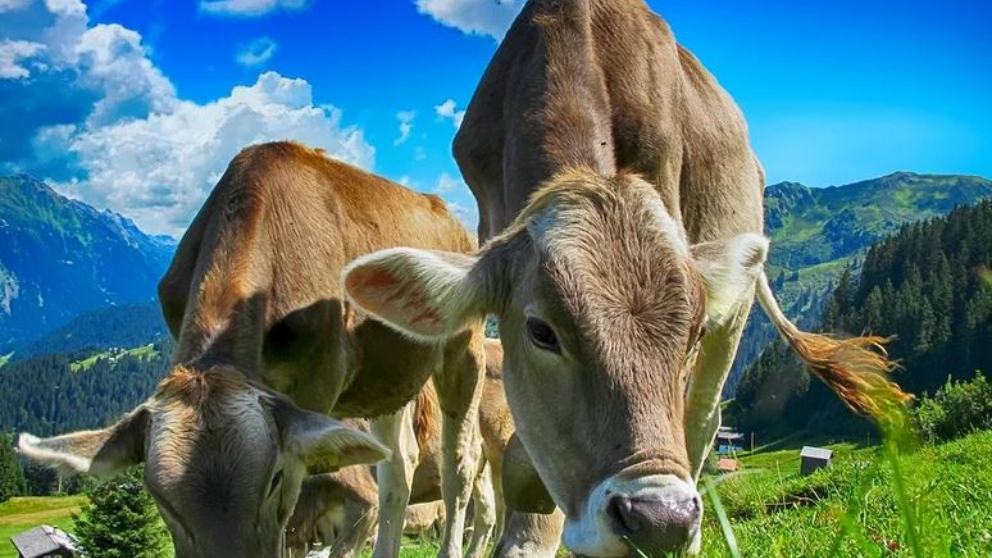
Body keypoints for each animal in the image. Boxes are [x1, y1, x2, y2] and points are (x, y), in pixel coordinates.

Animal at [18, 141, 487, 558]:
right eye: (161, 499)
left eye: (274, 478)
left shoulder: (316, 383)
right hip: (387, 379)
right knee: (398, 467)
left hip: (465, 349)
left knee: (458, 468)